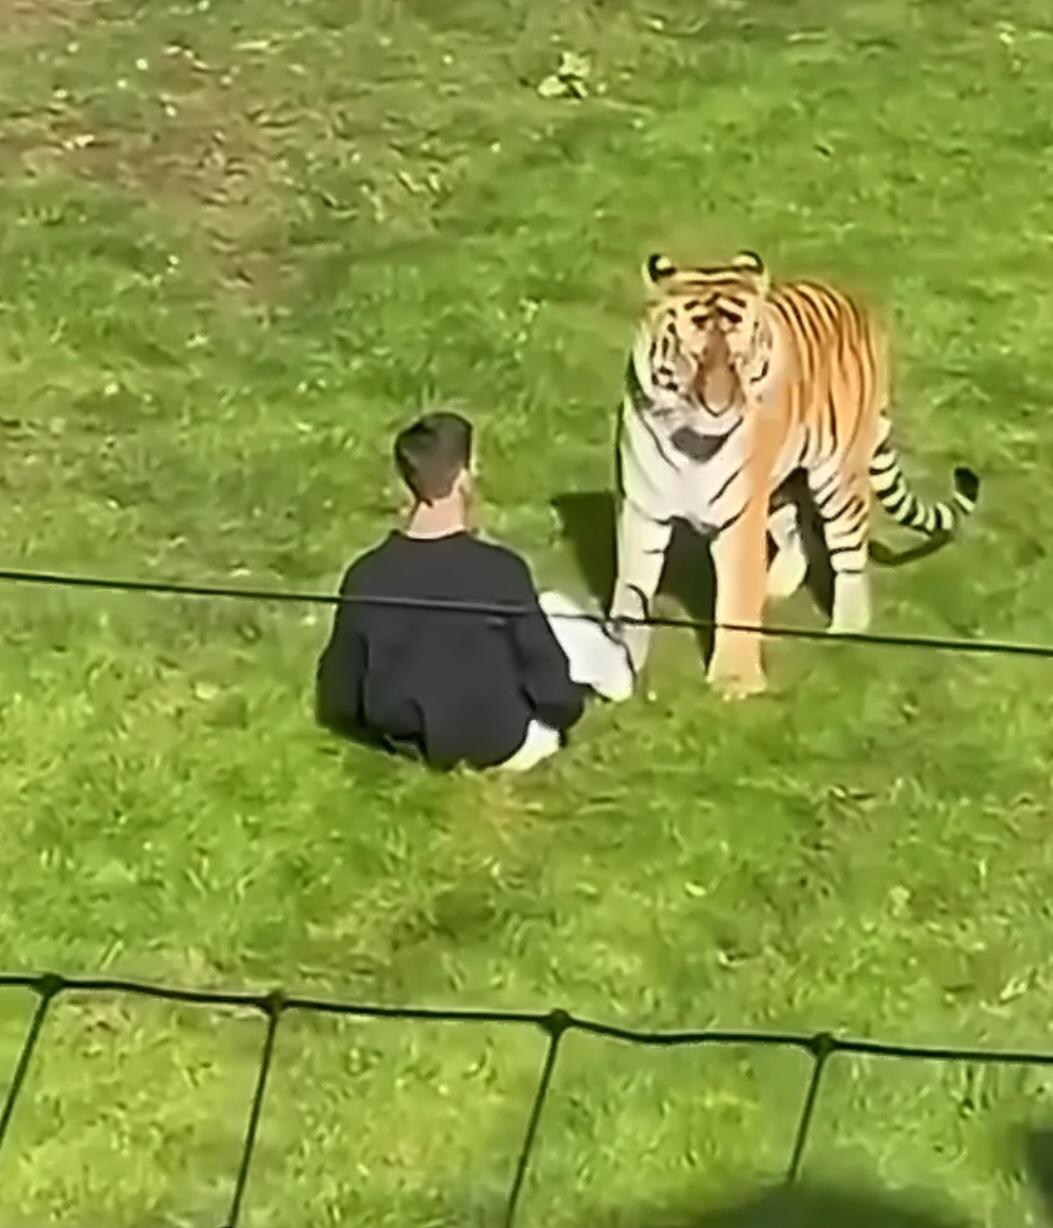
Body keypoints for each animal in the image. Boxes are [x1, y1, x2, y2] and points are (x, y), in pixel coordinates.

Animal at [607, 249, 980, 700]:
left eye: (740, 358)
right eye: (692, 357)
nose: (718, 408)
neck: (691, 442)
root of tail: (856, 302)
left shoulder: (739, 518)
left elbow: (735, 598)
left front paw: (736, 681)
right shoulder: (642, 509)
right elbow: (631, 589)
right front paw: (617, 662)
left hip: (837, 478)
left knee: (848, 554)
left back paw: (845, 628)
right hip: (782, 484)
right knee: (795, 531)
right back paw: (775, 589)